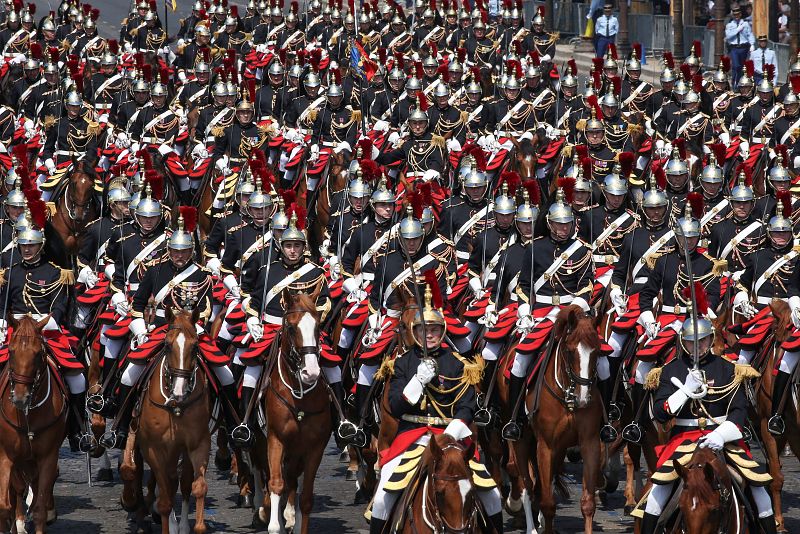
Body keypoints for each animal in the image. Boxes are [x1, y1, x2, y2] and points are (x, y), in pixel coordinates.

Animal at [0, 316, 67, 532]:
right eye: (11, 351)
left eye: (38, 354)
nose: (20, 398)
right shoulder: (6, 456)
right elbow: (4, 505)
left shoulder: (48, 456)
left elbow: (39, 509)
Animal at [120, 310, 211, 534]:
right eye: (168, 345)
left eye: (195, 346)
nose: (179, 391)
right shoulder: (154, 449)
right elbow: (164, 500)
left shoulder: (198, 444)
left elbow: (197, 487)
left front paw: (195, 526)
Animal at [258, 294, 330, 534]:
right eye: (290, 327)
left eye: (318, 326)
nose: (311, 372)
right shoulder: (275, 439)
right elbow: (275, 483)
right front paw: (273, 521)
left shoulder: (315, 447)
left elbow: (306, 498)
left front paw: (293, 517)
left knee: (291, 479)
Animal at [512, 306, 600, 534]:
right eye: (569, 351)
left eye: (597, 351)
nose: (582, 399)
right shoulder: (546, 446)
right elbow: (548, 503)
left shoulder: (589, 443)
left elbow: (588, 504)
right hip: (521, 441)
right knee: (527, 486)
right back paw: (531, 527)